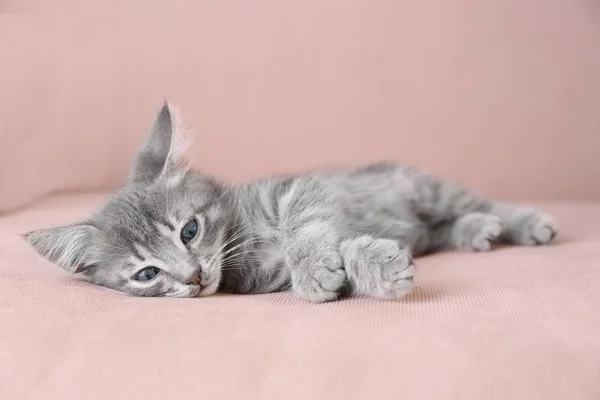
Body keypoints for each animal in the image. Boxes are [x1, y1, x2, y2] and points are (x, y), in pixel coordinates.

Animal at [23, 101, 556, 302]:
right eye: (146, 274)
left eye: (190, 230)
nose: (193, 278)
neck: (242, 233)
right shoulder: (268, 281)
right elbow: (337, 259)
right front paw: (368, 266)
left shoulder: (298, 187)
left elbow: (306, 224)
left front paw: (323, 262)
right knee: (442, 228)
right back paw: (476, 231)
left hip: (424, 187)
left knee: (475, 202)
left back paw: (523, 222)